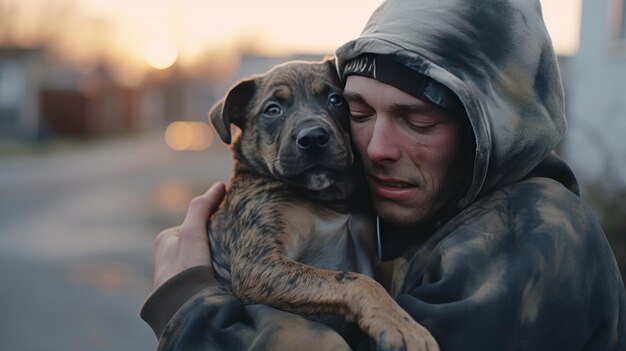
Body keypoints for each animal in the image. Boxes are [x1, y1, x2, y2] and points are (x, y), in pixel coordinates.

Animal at [207, 58, 436, 351]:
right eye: (272, 110)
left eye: (335, 99)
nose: (313, 138)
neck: (326, 199)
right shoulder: (256, 262)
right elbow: (354, 280)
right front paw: (402, 326)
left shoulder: (369, 246)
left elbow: (398, 265)